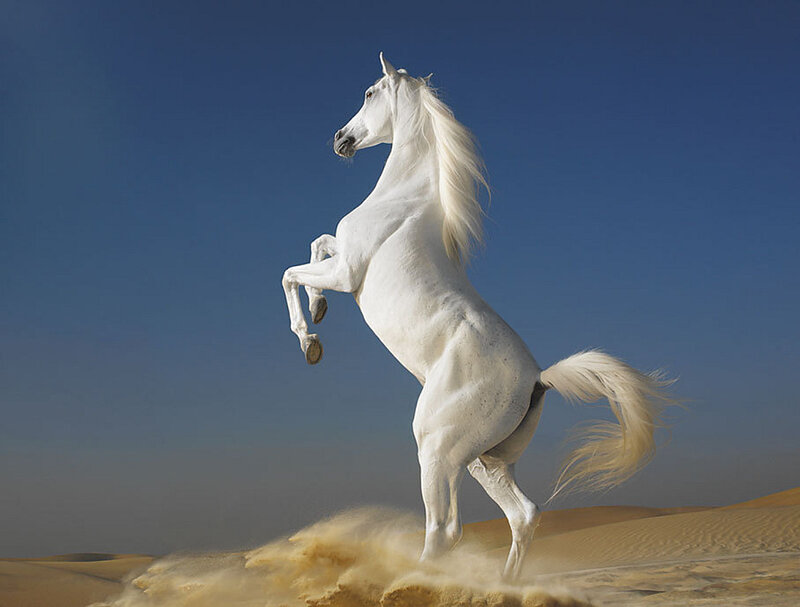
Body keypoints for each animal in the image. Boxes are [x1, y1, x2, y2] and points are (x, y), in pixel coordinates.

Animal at [281, 53, 674, 580]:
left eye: (368, 92)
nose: (341, 139)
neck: (403, 200)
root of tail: (538, 379)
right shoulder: (340, 259)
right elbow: (318, 243)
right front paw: (320, 310)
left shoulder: (347, 272)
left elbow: (291, 271)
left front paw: (311, 341)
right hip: (481, 460)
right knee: (523, 515)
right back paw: (504, 585)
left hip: (436, 448)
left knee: (445, 530)